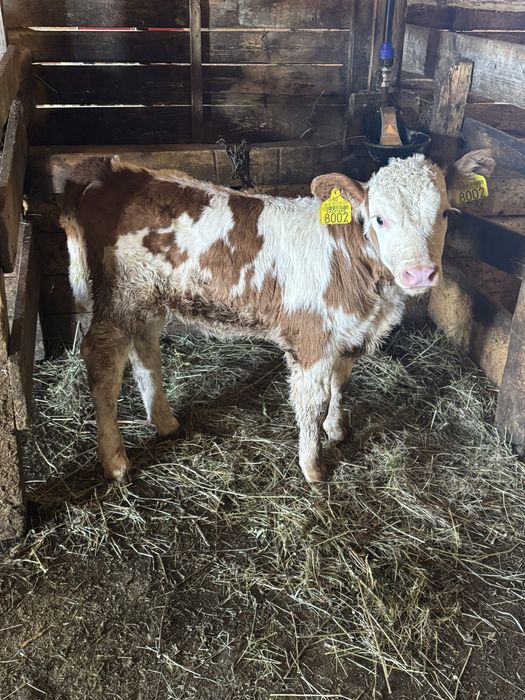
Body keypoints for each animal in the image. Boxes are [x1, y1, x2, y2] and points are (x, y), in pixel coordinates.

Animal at [60, 149, 494, 484]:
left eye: (444, 214)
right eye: (379, 218)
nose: (419, 273)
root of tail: (114, 170)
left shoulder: (347, 332)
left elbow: (341, 384)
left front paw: (337, 429)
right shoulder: (311, 338)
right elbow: (313, 401)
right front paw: (313, 467)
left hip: (148, 297)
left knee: (145, 349)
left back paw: (165, 422)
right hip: (118, 296)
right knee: (103, 363)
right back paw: (116, 461)